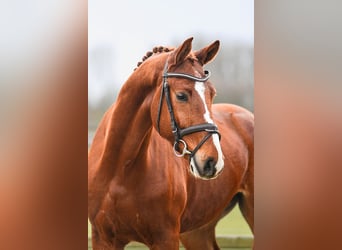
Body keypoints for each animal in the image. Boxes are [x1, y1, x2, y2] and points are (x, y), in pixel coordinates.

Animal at [88, 37, 254, 250]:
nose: (213, 162)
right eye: (181, 95)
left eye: (212, 94)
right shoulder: (103, 238)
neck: (120, 170)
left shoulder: (165, 238)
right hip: (197, 232)